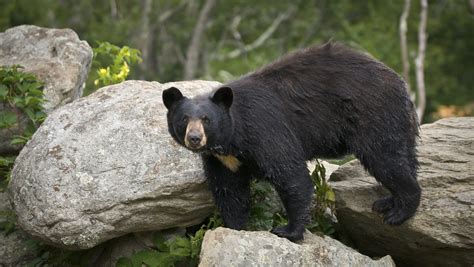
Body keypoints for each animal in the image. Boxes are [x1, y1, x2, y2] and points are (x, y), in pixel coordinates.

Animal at [164, 42, 422, 243]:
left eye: (206, 119)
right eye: (184, 119)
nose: (195, 138)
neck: (233, 138)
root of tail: (401, 84)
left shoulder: (265, 129)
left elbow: (290, 175)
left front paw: (289, 230)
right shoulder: (222, 159)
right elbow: (229, 190)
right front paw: (235, 227)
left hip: (373, 115)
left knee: (385, 159)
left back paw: (399, 211)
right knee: (404, 157)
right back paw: (388, 201)